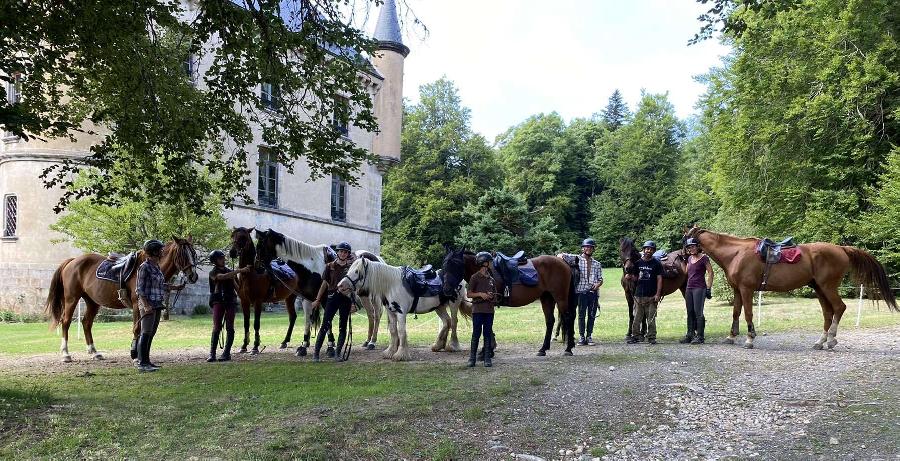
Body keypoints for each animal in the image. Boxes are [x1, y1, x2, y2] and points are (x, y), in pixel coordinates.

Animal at [44, 237, 199, 362]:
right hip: (71, 299)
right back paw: (65, 354)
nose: (193, 276)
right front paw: (135, 355)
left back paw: (94, 352)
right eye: (182, 254)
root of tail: (72, 261)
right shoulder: (137, 305)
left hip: (92, 302)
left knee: (86, 323)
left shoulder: (154, 308)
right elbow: (137, 329)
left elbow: (149, 332)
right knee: (66, 322)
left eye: (193, 253)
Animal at [336, 258, 472, 360]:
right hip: (439, 307)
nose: (340, 286)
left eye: (357, 271)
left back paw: (453, 346)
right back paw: (438, 345)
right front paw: (390, 352)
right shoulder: (391, 313)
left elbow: (401, 331)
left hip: (453, 304)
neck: (391, 285)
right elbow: (393, 331)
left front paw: (401, 354)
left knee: (453, 322)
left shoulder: (401, 313)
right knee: (446, 322)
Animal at [442, 246, 576, 354]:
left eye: (456, 265)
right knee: (550, 321)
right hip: (547, 298)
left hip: (560, 298)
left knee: (568, 318)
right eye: (445, 265)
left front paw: (487, 350)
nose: (446, 289)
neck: (485, 272)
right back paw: (543, 349)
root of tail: (563, 262)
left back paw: (568, 349)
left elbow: (487, 327)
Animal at [684, 226, 896, 348]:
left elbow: (748, 314)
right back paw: (821, 341)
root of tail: (841, 249)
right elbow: (736, 312)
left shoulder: (747, 289)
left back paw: (831, 339)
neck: (737, 253)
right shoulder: (737, 290)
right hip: (819, 289)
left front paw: (750, 338)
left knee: (839, 308)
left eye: (686, 238)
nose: (684, 255)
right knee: (828, 313)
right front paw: (731, 337)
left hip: (828, 287)